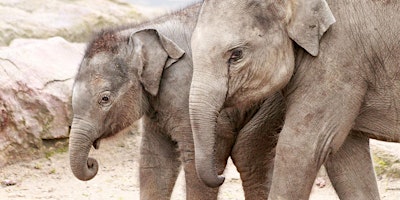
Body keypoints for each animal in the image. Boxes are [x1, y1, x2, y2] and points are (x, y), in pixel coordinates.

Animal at [69, 3, 282, 200]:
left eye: (105, 99)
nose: (92, 163)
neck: (139, 31)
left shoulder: (184, 89)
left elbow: (197, 161)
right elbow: (154, 159)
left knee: (249, 156)